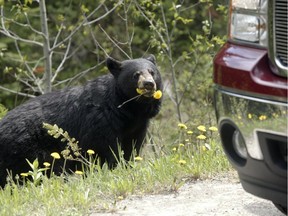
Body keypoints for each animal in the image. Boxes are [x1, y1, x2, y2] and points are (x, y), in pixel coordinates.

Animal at [0, 54, 162, 186]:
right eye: (136, 74)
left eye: (152, 72)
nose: (149, 83)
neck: (127, 110)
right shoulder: (99, 123)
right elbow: (104, 150)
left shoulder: (137, 126)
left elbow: (131, 148)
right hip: (25, 150)